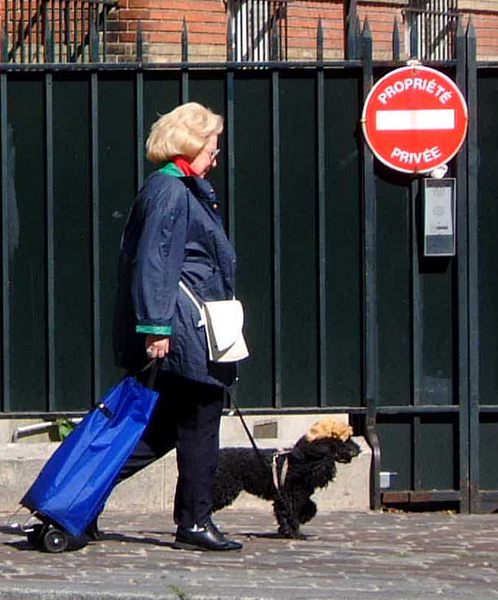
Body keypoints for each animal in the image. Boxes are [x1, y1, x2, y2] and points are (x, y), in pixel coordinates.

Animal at [212, 418, 360, 540]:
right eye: (345, 441)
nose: (359, 449)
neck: (304, 460)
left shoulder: (295, 496)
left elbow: (309, 508)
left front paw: (295, 525)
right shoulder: (290, 496)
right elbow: (291, 514)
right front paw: (295, 534)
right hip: (224, 488)